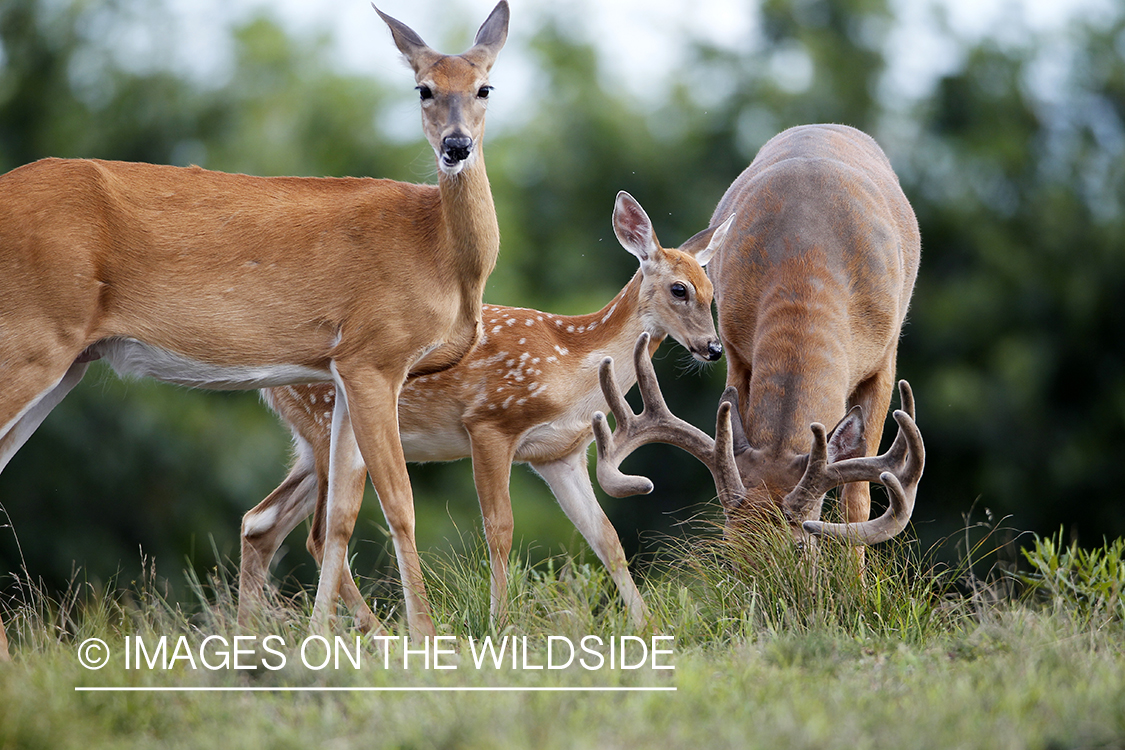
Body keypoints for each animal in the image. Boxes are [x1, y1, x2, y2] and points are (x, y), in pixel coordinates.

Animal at [0, 1, 510, 656]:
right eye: (423, 88)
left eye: (484, 87)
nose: (456, 145)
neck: (441, 255)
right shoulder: (376, 354)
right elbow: (397, 501)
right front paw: (423, 637)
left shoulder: (343, 368)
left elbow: (340, 515)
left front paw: (324, 637)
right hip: (32, 336)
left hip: (66, 362)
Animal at [239, 191, 729, 629]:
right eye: (679, 289)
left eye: (712, 292)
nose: (713, 348)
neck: (571, 365)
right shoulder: (491, 422)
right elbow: (500, 529)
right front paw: (499, 623)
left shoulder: (560, 453)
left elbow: (606, 538)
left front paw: (650, 629)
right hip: (328, 426)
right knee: (317, 535)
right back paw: (373, 632)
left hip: (308, 442)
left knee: (259, 521)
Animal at [589, 123, 922, 546]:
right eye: (729, 547)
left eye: (799, 546)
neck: (806, 269)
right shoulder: (732, 348)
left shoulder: (884, 358)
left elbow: (857, 503)